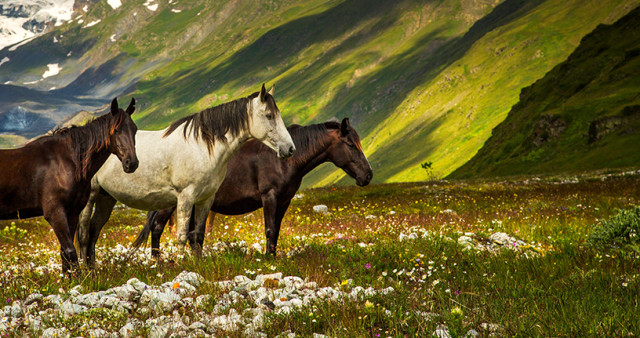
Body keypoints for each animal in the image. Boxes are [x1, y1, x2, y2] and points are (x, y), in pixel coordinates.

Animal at [0, 98, 139, 272]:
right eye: (116, 130)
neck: (66, 162)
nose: (131, 163)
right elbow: (70, 251)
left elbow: (65, 254)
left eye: (134, 129)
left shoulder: (72, 212)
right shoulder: (55, 213)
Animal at [77, 84, 296, 266]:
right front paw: (181, 265)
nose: (290, 149)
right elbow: (182, 235)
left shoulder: (206, 199)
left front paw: (197, 264)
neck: (202, 147)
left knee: (94, 229)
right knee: (83, 232)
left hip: (106, 197)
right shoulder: (185, 197)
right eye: (269, 115)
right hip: (91, 196)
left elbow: (198, 235)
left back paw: (93, 268)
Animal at [133, 118, 372, 256]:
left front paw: (273, 257)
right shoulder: (270, 197)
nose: (367, 175)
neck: (283, 160)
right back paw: (158, 261)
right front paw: (268, 259)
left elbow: (276, 230)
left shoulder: (284, 201)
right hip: (170, 204)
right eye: (350, 144)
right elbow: (269, 229)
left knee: (190, 232)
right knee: (157, 228)